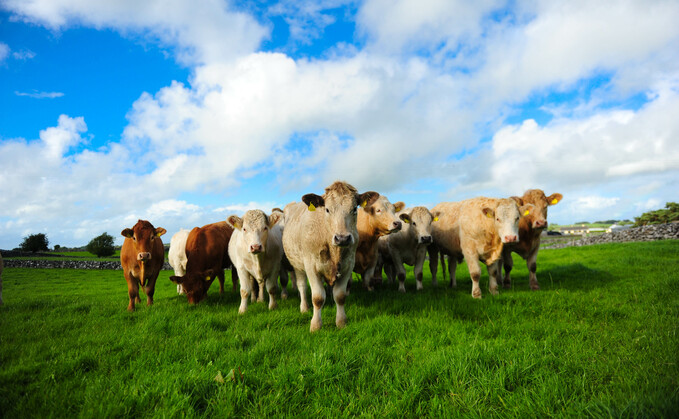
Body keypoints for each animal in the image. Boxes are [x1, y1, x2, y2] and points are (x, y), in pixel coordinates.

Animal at [280, 182, 378, 334]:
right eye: (327, 209)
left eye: (354, 209)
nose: (342, 238)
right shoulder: (311, 266)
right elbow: (318, 298)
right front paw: (315, 325)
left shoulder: (348, 265)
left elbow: (340, 296)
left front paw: (341, 322)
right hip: (297, 265)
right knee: (302, 286)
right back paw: (304, 307)